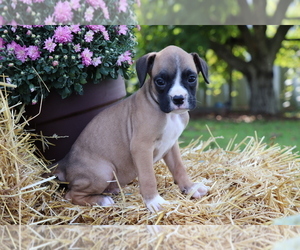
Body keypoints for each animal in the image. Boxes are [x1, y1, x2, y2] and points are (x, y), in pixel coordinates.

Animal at [50, 45, 210, 211]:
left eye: (191, 78)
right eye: (160, 81)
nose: (178, 99)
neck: (169, 115)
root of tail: (64, 163)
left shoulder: (171, 144)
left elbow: (179, 168)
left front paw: (191, 188)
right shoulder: (142, 147)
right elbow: (148, 177)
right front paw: (154, 201)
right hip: (104, 171)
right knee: (70, 195)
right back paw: (102, 200)